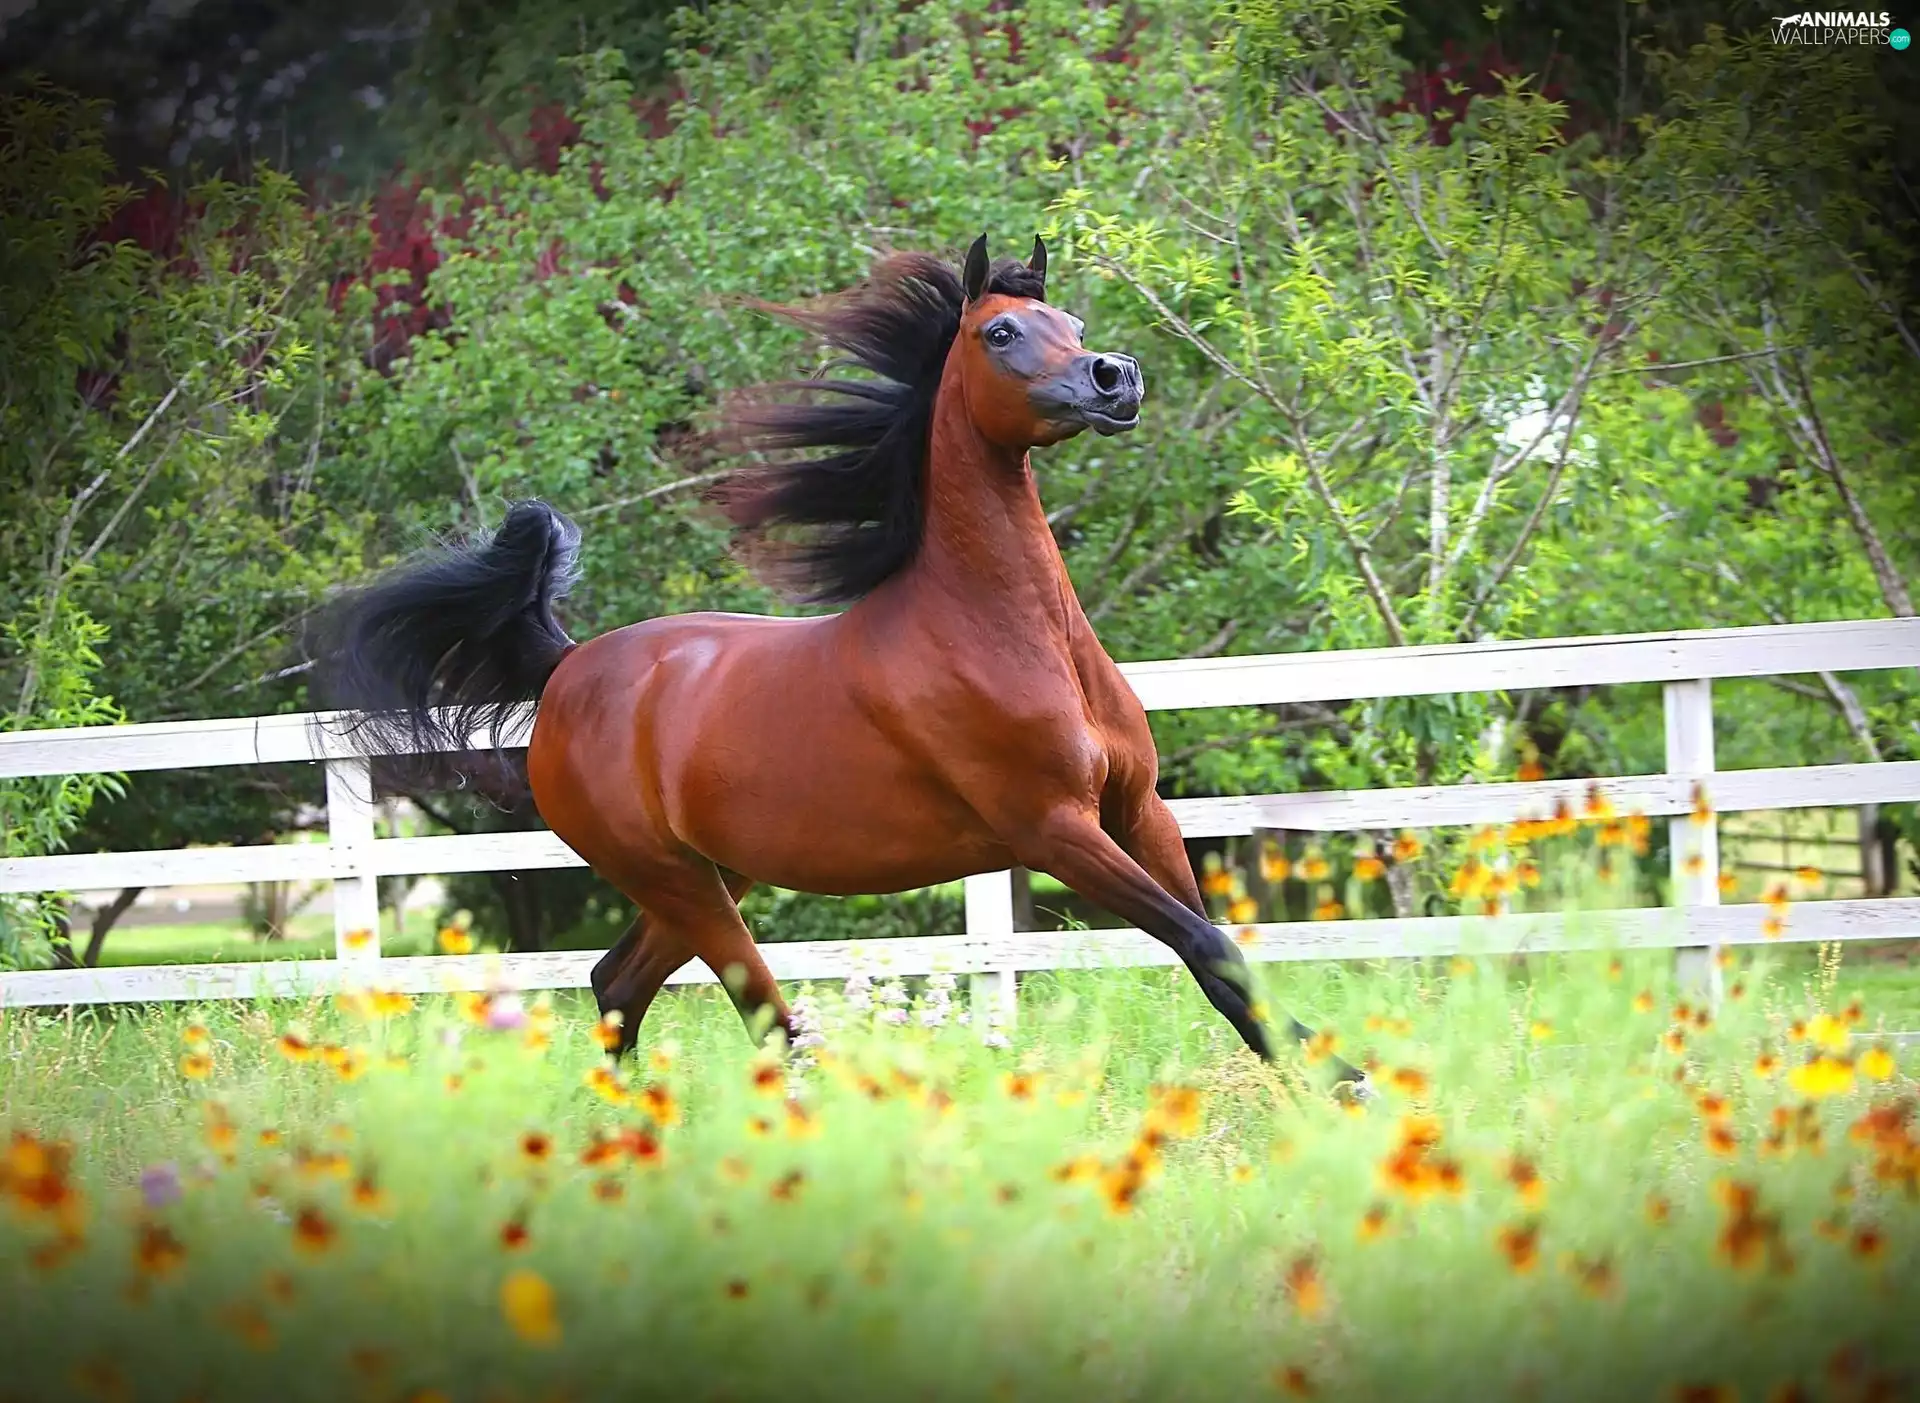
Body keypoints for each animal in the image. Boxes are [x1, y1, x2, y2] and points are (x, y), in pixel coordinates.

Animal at [309, 233, 1367, 1094]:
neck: (1003, 633)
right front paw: (1344, 1077)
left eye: (1072, 323)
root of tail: (567, 670)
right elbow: (1204, 942)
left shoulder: (1138, 810)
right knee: (764, 1018)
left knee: (616, 983)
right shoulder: (1053, 829)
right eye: (1001, 333)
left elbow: (1222, 954)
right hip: (677, 879)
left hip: (705, 876)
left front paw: (1321, 1075)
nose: (1116, 379)